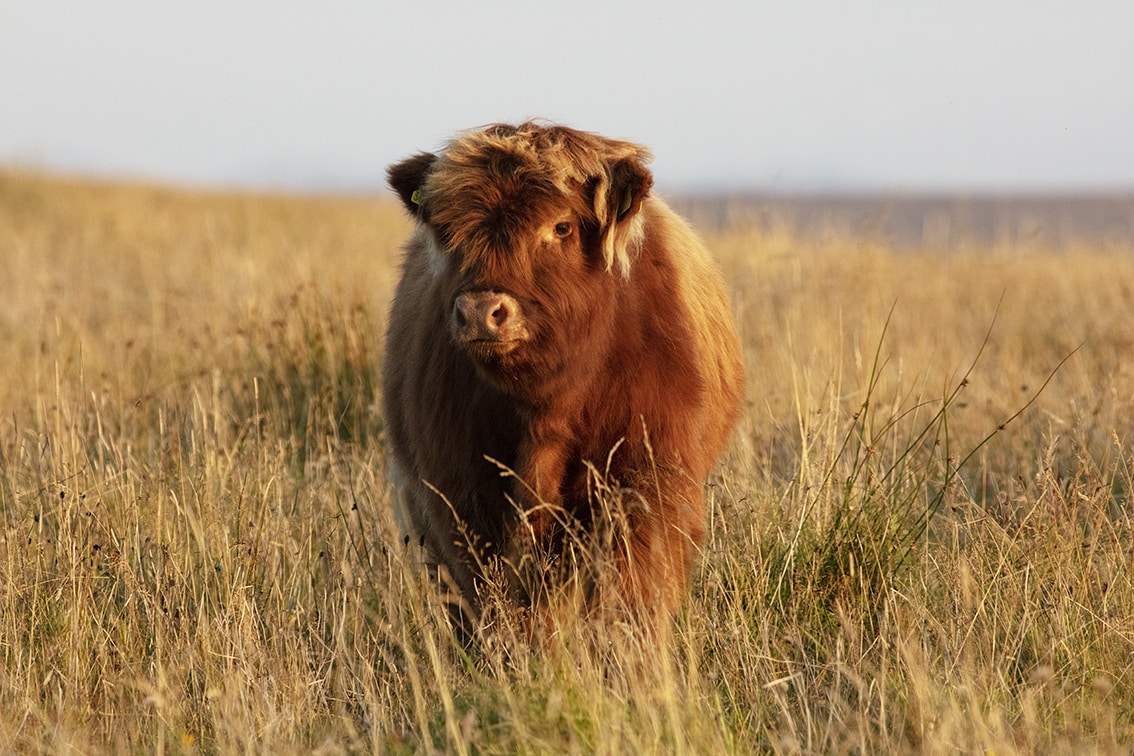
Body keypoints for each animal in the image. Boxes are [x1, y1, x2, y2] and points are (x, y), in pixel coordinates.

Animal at [385, 122, 748, 634]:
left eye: (561, 227)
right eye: (448, 230)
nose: (480, 311)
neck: (549, 403)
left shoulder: (648, 483)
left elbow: (630, 592)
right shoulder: (455, 495)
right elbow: (490, 596)